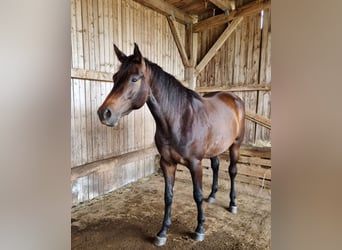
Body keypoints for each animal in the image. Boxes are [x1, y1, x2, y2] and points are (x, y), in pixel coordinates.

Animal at [97, 43, 244, 246]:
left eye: (134, 78)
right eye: (114, 77)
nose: (104, 113)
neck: (179, 119)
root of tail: (234, 98)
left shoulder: (195, 164)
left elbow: (197, 195)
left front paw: (199, 229)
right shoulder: (167, 163)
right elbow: (168, 196)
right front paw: (163, 232)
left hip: (235, 146)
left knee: (232, 172)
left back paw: (233, 203)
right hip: (216, 147)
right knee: (216, 166)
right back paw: (213, 196)